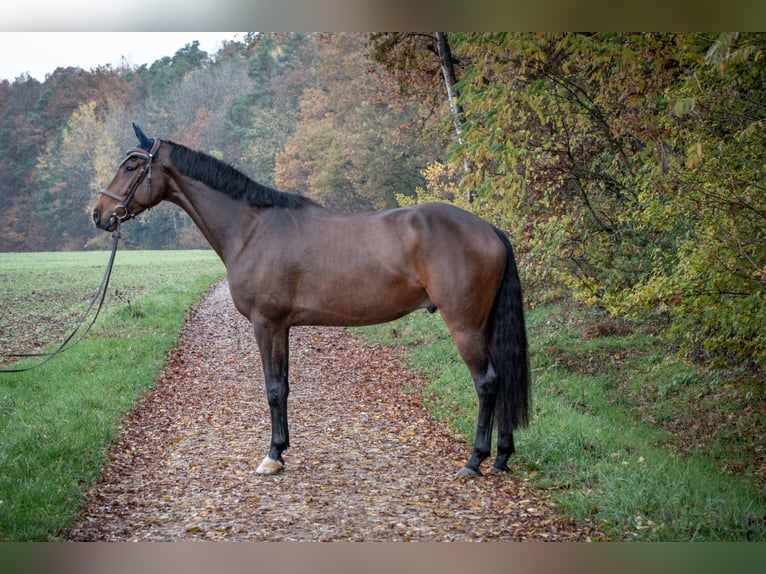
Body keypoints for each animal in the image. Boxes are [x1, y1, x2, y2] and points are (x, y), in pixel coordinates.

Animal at [93, 124, 532, 480]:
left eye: (132, 166)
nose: (100, 214)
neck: (251, 228)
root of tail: (490, 229)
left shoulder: (265, 323)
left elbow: (272, 388)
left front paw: (272, 456)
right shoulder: (282, 326)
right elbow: (284, 386)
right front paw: (281, 449)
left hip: (465, 326)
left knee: (487, 382)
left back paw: (474, 461)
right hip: (484, 325)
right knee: (502, 378)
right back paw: (501, 457)